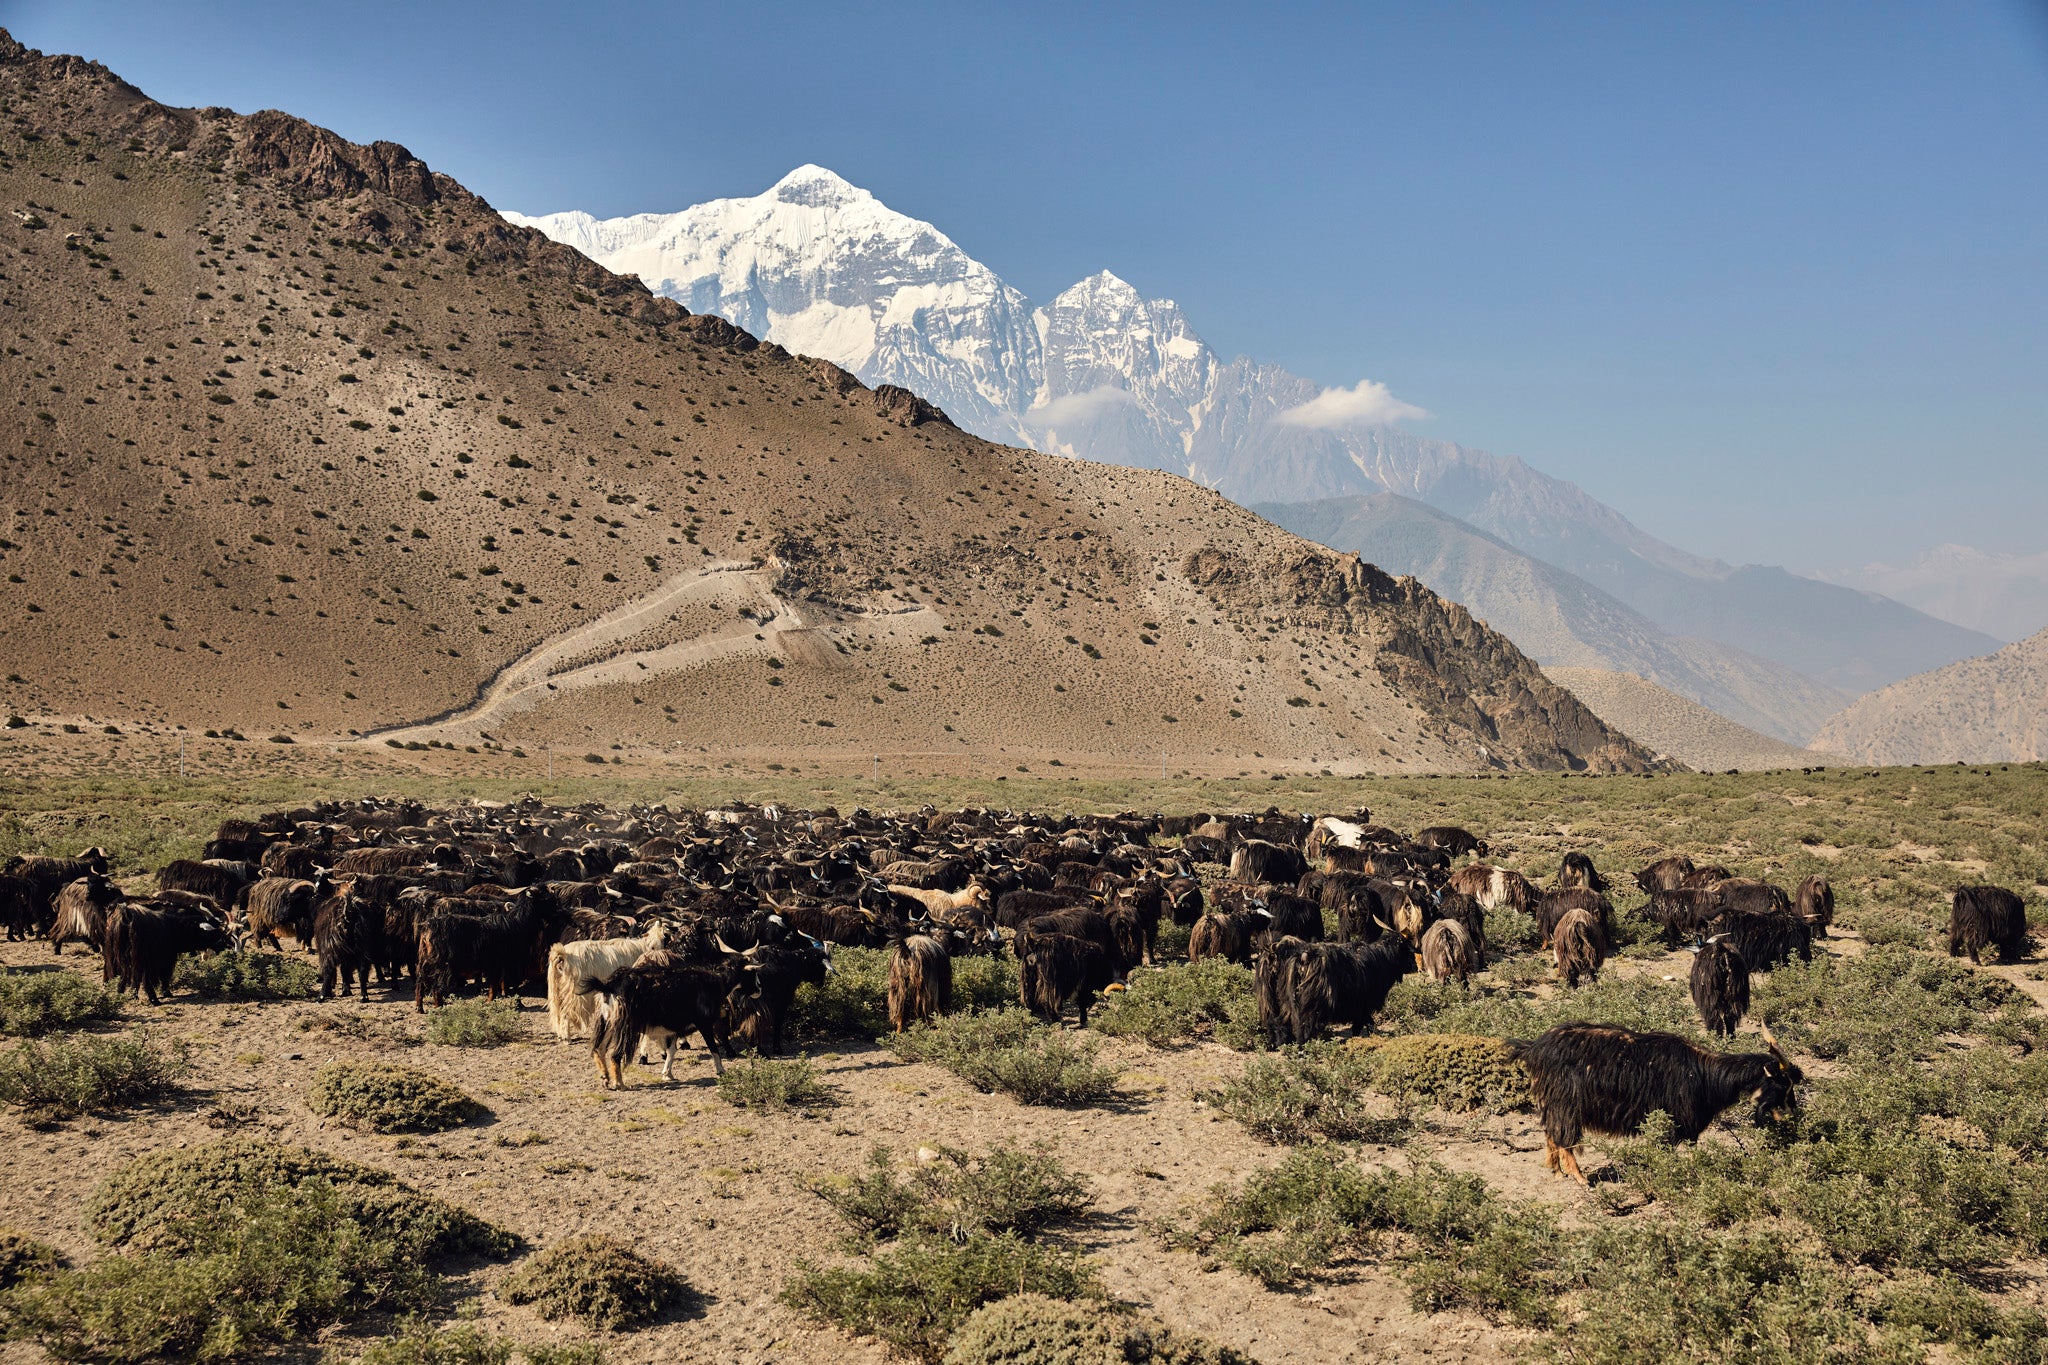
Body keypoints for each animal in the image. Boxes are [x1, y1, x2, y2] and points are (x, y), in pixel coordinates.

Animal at [1507, 1023, 1810, 1186]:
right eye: (1782, 1084)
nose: (1791, 1116)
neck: (1704, 1074)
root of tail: (1535, 1047)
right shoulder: (1677, 1124)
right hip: (1566, 1102)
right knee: (1564, 1137)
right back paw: (1581, 1178)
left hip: (1552, 1101)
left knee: (1551, 1134)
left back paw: (1557, 1172)